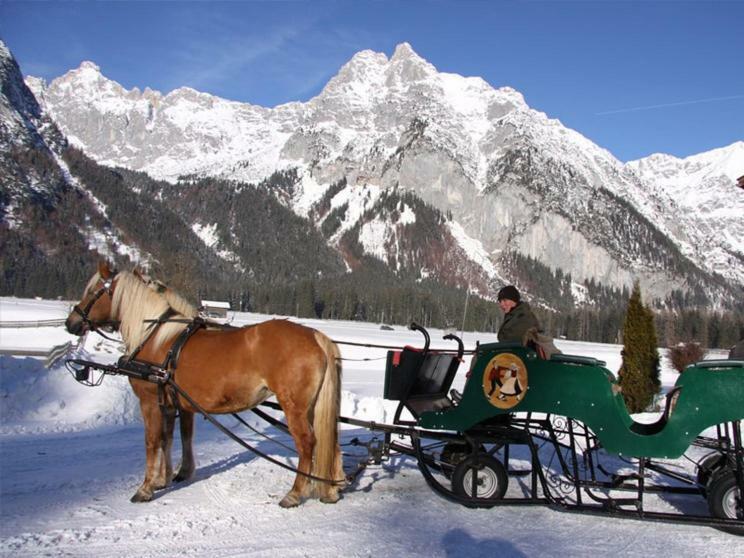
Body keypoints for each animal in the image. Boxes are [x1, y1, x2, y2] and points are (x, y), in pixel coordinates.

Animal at [65, 262, 344, 508]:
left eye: (92, 291)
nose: (71, 322)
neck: (154, 337)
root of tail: (315, 336)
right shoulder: (171, 402)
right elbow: (171, 438)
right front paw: (166, 478)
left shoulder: (149, 401)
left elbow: (152, 441)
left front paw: (145, 488)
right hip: (313, 406)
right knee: (331, 440)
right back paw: (331, 490)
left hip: (294, 407)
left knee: (307, 443)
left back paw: (294, 493)